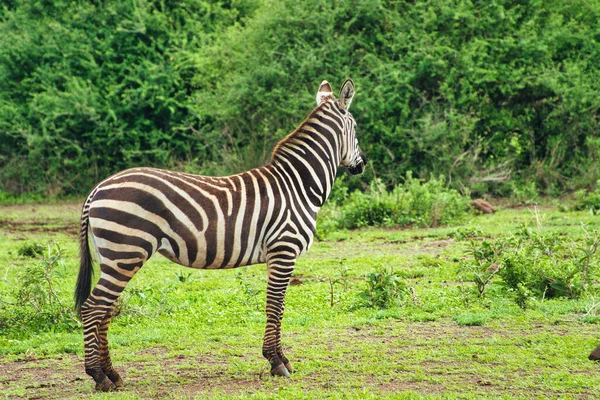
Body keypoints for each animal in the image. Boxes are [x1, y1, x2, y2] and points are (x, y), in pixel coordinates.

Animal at [74, 79, 366, 390]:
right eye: (355, 126)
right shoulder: (284, 250)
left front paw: (280, 359)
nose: (363, 164)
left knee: (105, 311)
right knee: (92, 308)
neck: (297, 185)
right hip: (126, 252)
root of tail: (98, 188)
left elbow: (277, 305)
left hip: (114, 257)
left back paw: (113, 374)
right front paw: (276, 362)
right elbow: (276, 306)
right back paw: (98, 375)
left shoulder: (279, 255)